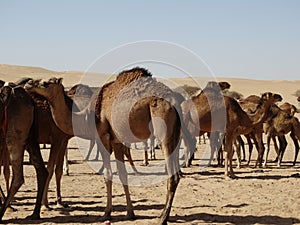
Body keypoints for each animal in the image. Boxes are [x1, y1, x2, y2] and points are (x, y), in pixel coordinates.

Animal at [25, 67, 195, 224]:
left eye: (46, 83)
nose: (28, 84)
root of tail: (176, 101)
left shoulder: (103, 137)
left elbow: (108, 175)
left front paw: (106, 213)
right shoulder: (117, 141)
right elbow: (123, 174)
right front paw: (130, 213)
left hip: (163, 127)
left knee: (172, 175)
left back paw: (162, 218)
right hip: (175, 133)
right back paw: (163, 215)